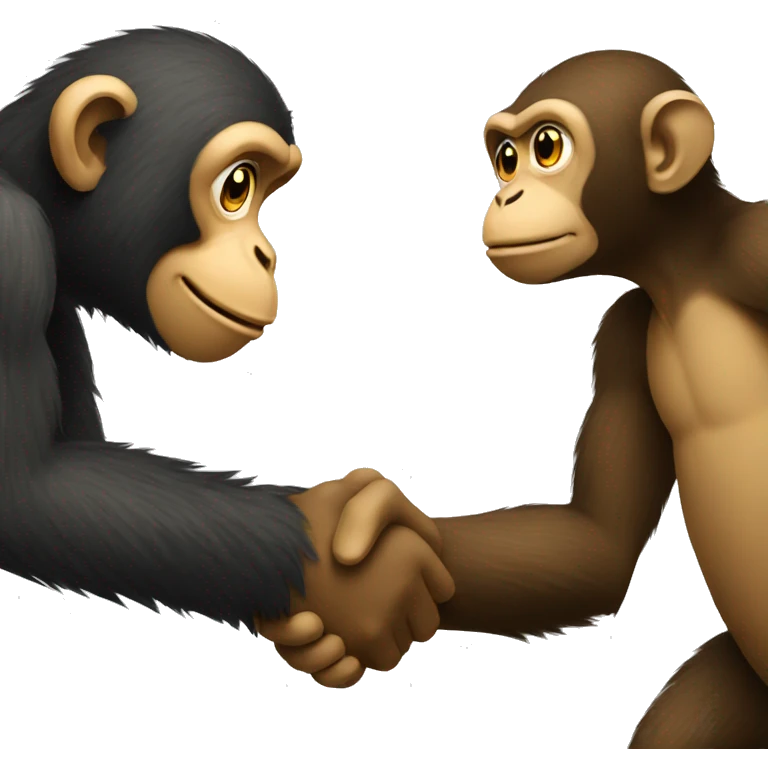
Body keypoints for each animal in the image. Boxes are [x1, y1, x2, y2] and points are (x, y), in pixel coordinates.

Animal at [0, 27, 455, 690]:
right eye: (236, 187)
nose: (268, 255)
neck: (31, 185)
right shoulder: (13, 249)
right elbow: (29, 494)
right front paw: (351, 572)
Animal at [467, 49, 768, 749]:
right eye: (506, 158)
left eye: (547, 148)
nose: (507, 194)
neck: (688, 272)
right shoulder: (624, 336)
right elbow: (597, 543)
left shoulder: (756, 251)